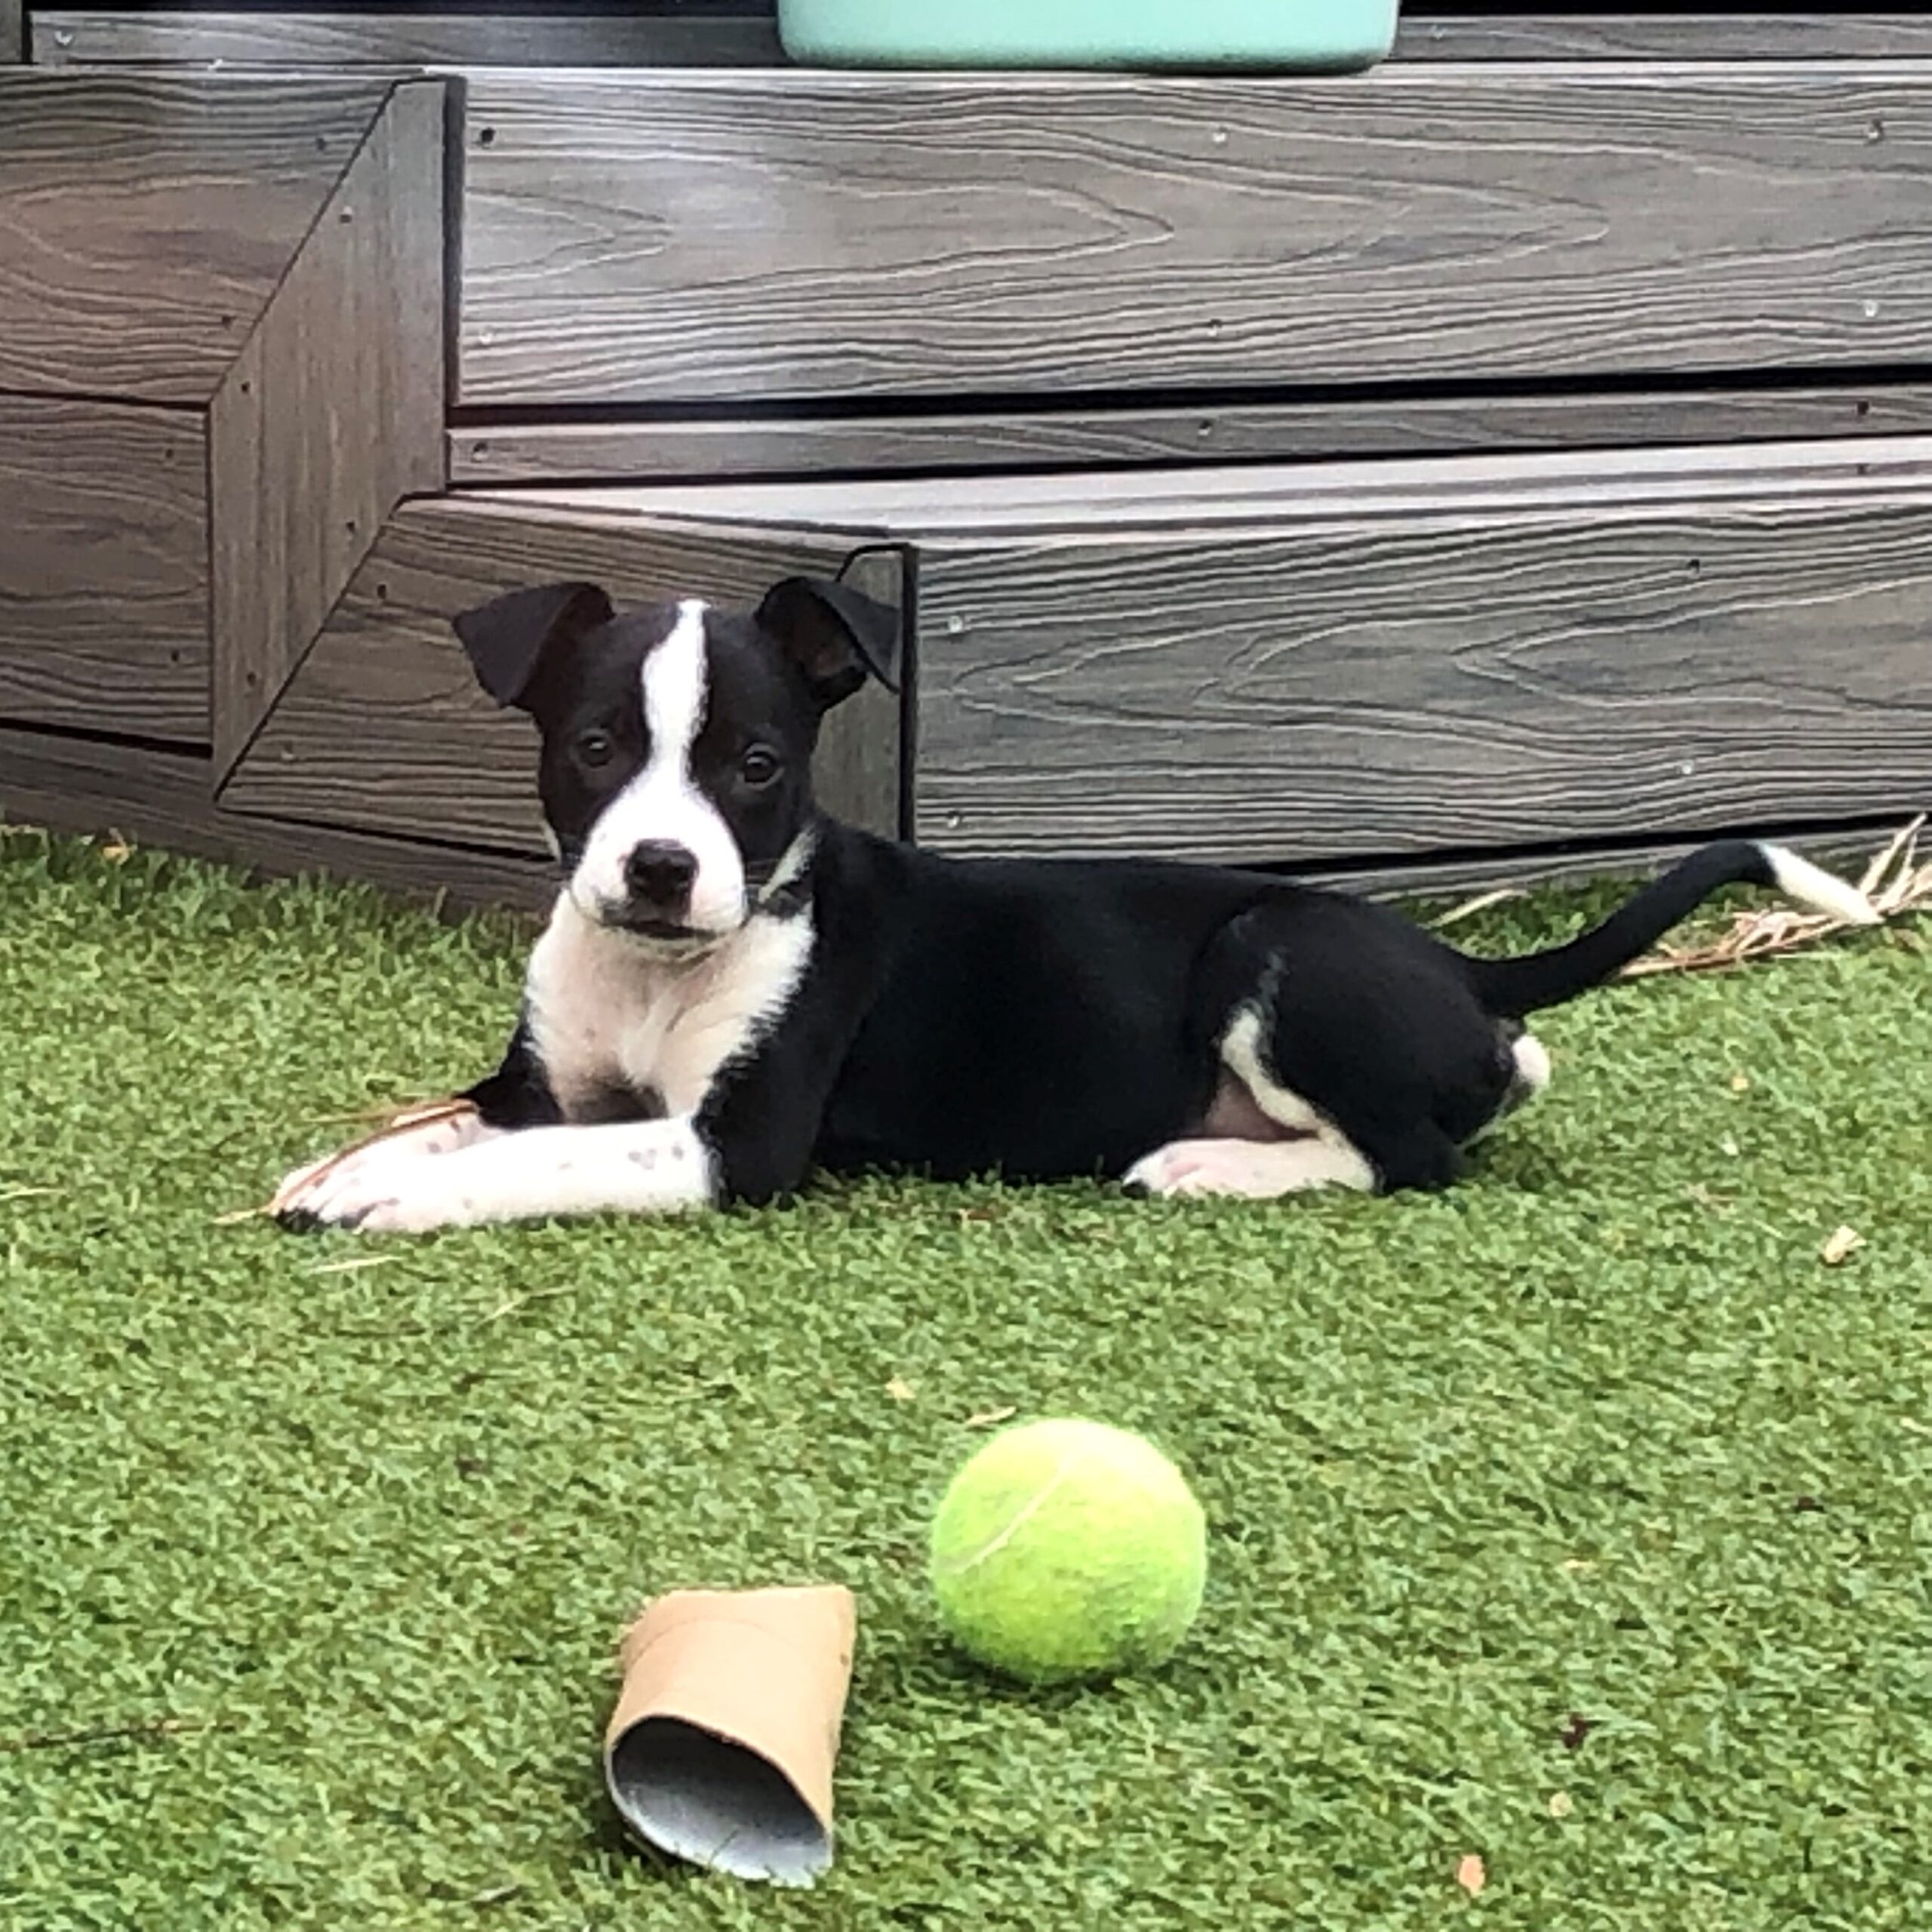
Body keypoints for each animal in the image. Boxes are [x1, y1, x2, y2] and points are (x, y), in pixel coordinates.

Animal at [271, 573, 1880, 1234]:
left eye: (757, 765)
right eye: (597, 747)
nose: (661, 871)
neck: (663, 970)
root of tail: (1469, 976)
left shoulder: (737, 1146)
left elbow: (529, 1160)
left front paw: (402, 1196)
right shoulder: (546, 1075)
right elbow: (468, 1118)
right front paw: (353, 1165)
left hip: (1272, 945)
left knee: (1408, 1156)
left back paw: (1209, 1165)